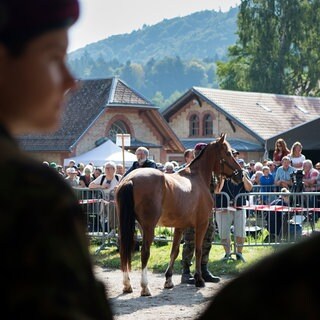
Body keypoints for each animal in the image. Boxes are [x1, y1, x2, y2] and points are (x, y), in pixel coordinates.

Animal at [115, 134, 242, 296]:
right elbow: (198, 250)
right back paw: (145, 287)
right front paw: (199, 279)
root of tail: (130, 179)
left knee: (124, 250)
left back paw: (127, 285)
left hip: (127, 225)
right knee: (145, 252)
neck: (197, 177)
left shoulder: (179, 227)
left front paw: (168, 280)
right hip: (148, 227)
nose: (241, 174)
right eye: (228, 153)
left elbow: (174, 251)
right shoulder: (201, 224)